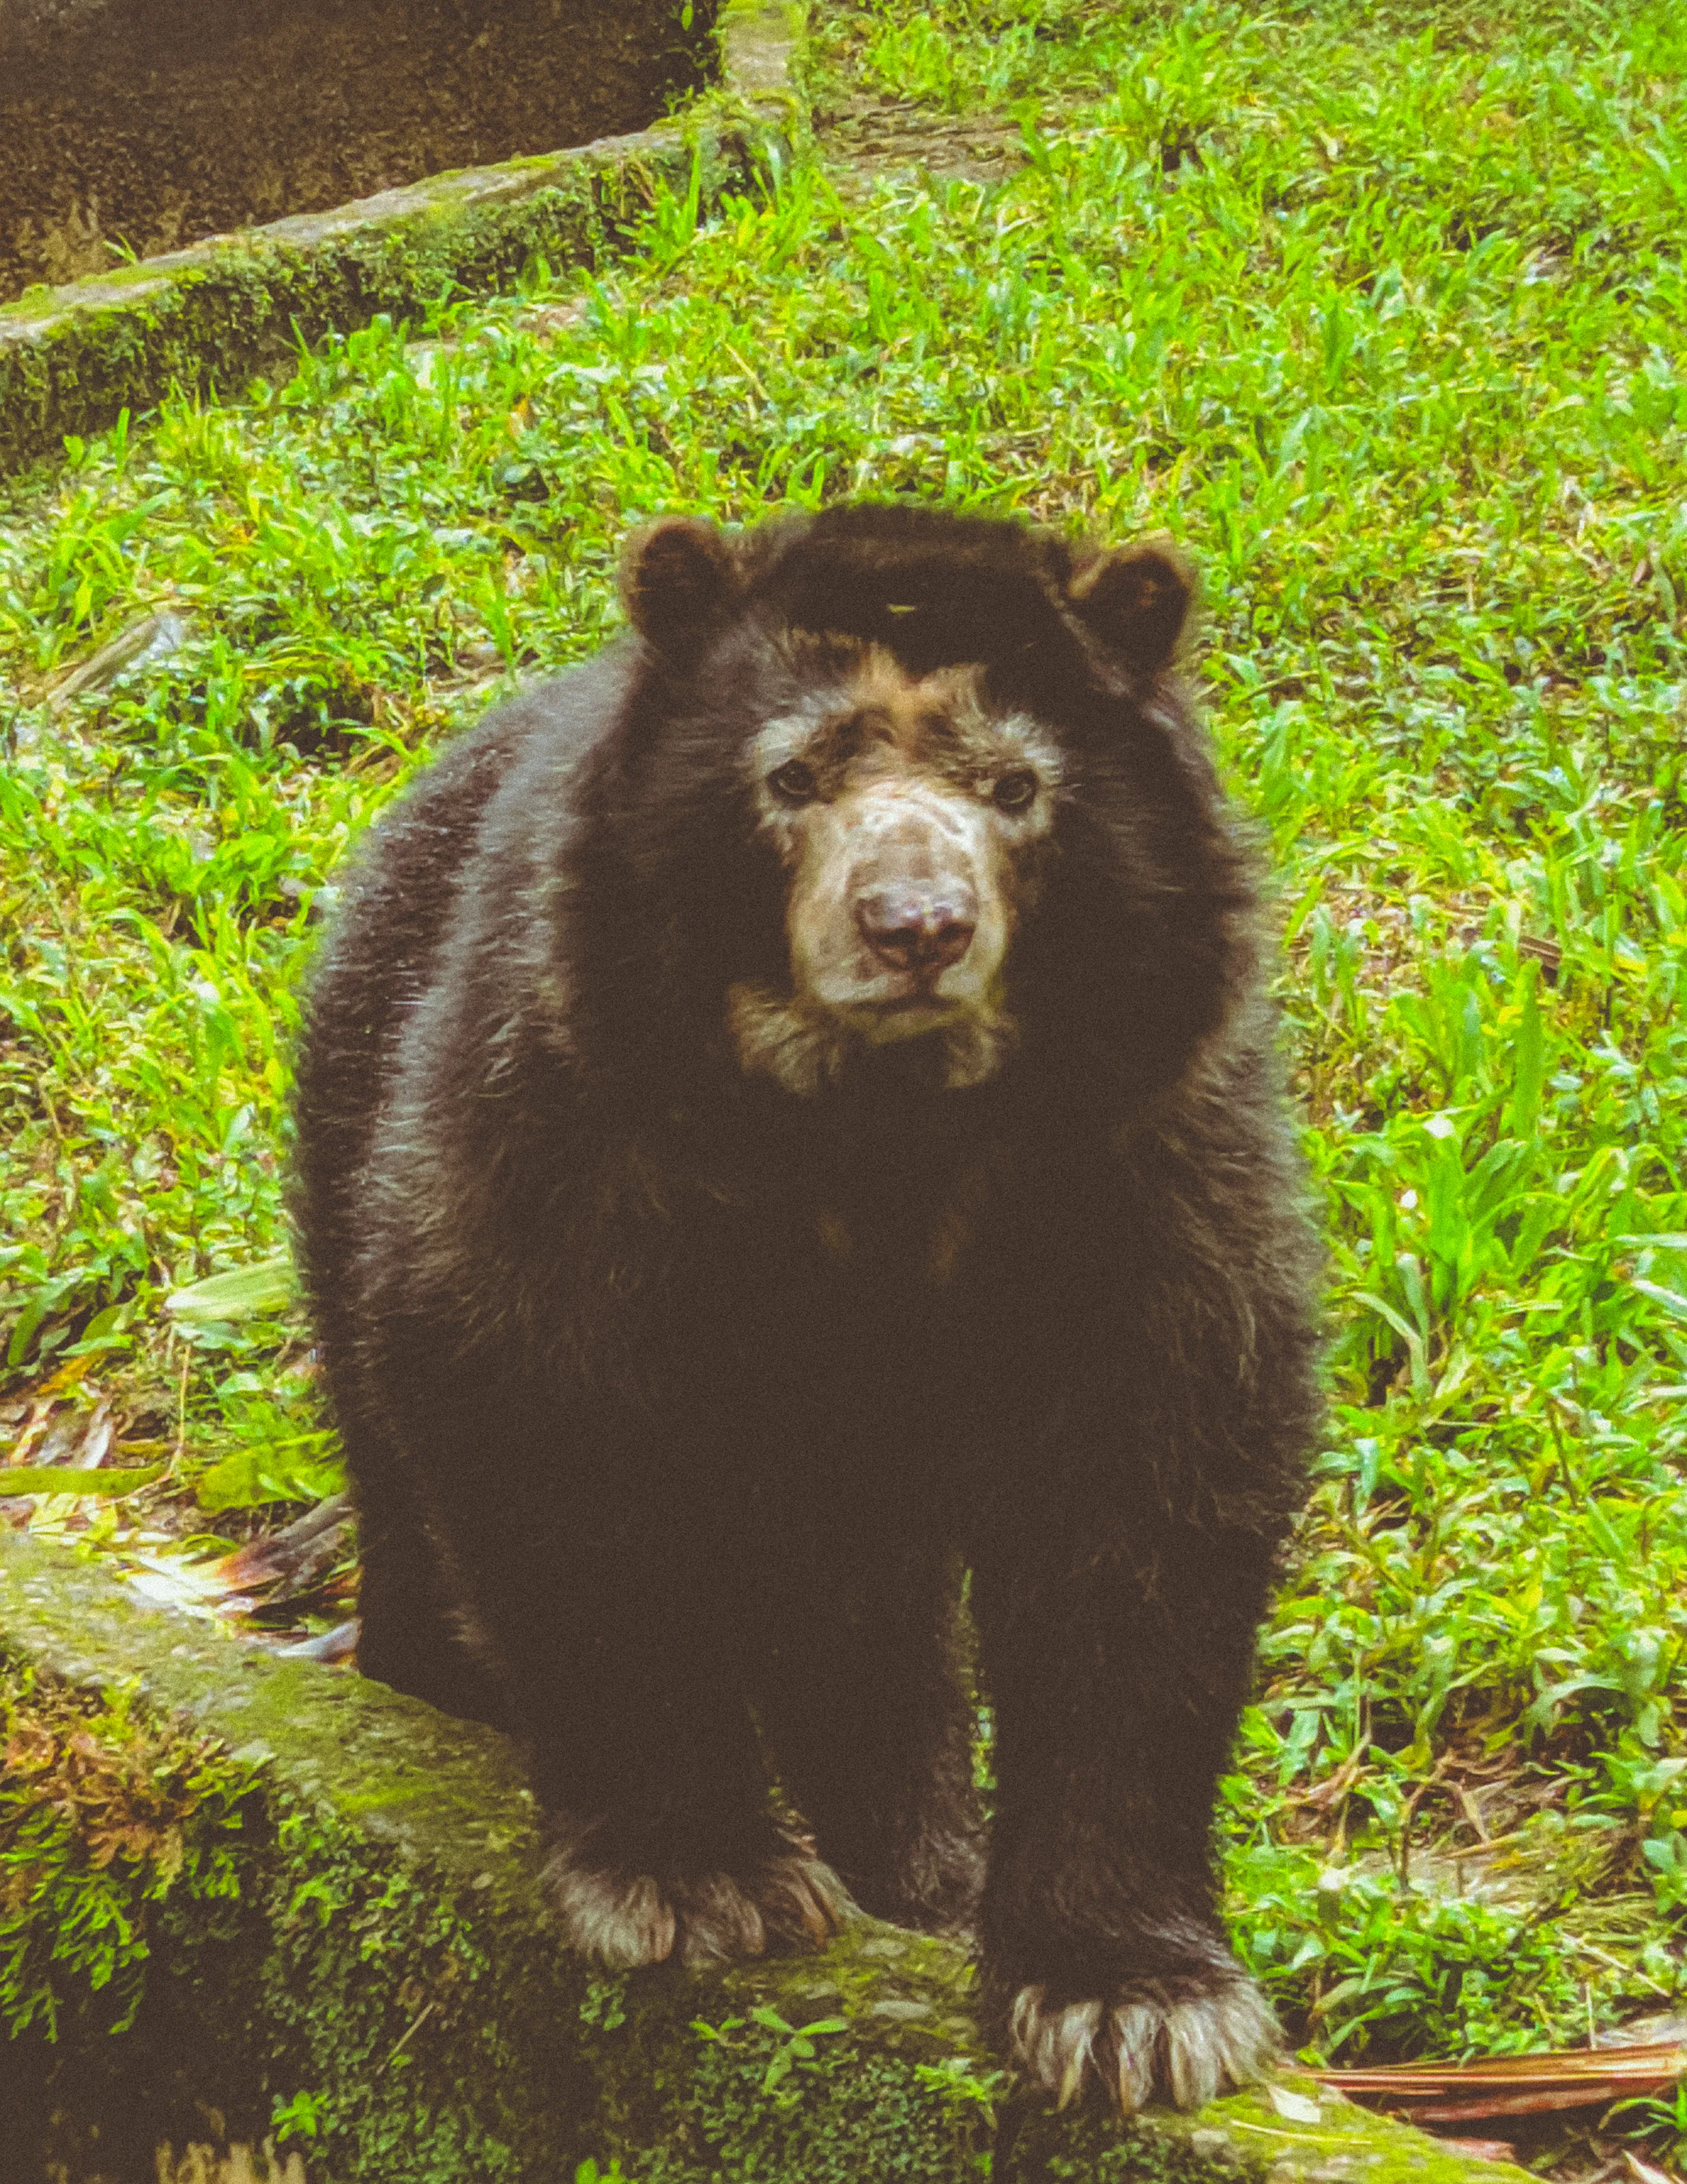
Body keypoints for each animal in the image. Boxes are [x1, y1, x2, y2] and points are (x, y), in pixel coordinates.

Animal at [291, 502, 1323, 2113]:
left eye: (1017, 785)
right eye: (791, 775)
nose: (915, 926)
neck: (879, 1130)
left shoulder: (1142, 1150)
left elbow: (1147, 1496)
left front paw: (1131, 2004)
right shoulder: (572, 1106)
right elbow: (545, 1411)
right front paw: (696, 1877)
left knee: (872, 1624)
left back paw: (920, 1868)